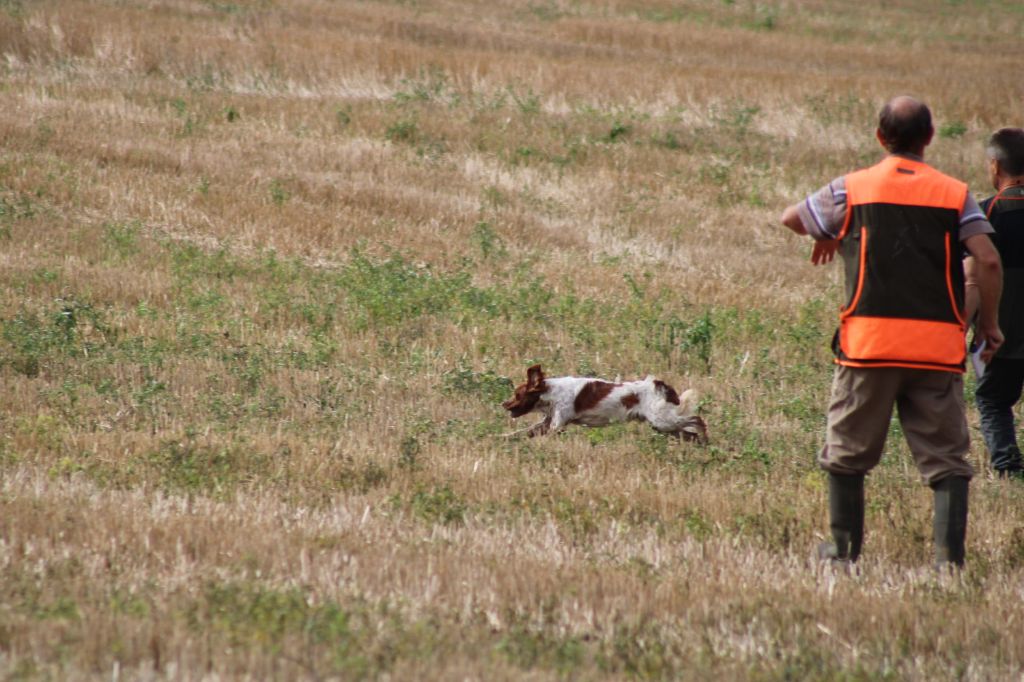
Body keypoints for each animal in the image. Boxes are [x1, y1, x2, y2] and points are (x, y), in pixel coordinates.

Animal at [499, 360, 708, 440]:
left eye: (517, 395)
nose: (503, 404)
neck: (551, 393)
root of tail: (658, 384)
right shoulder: (547, 423)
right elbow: (521, 432)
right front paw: (500, 438)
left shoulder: (557, 425)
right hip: (664, 426)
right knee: (690, 433)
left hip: (662, 421)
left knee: (698, 420)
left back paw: (705, 438)